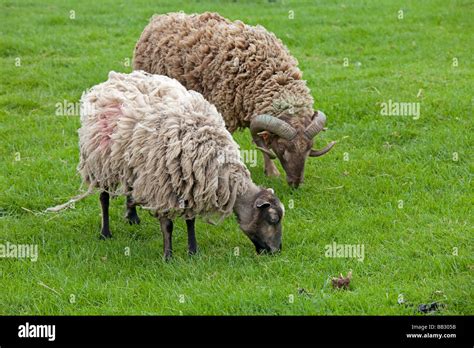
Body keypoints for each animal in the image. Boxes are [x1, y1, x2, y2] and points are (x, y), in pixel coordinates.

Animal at [75, 70, 282, 260]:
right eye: (273, 219)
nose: (276, 251)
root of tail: (114, 79)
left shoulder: (191, 181)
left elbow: (190, 220)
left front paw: (193, 252)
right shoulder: (162, 186)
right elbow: (167, 225)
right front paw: (168, 257)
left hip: (132, 163)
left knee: (129, 186)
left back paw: (132, 216)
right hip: (100, 160)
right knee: (103, 197)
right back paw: (105, 232)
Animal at [131, 12, 336, 189]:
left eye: (309, 148)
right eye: (282, 148)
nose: (295, 184)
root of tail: (160, 18)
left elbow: (261, 144)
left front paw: (271, 172)